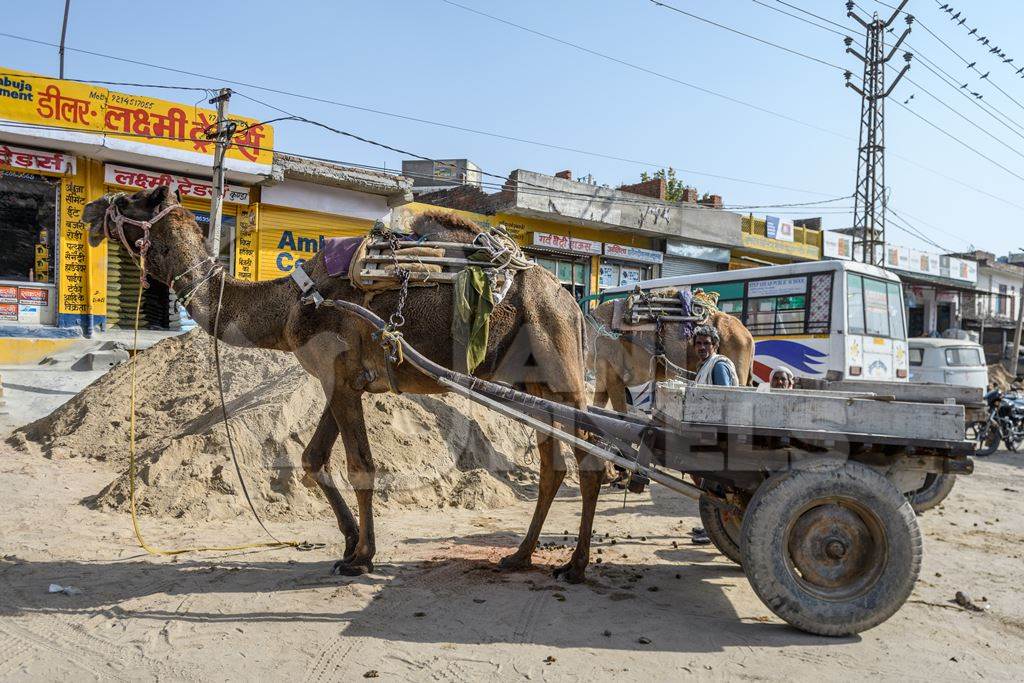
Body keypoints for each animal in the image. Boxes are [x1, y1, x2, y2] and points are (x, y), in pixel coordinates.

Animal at [83, 187, 602, 581]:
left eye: (129, 200)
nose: (90, 210)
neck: (291, 302)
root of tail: (572, 304)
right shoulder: (340, 381)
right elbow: (313, 459)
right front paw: (351, 543)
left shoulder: (340, 378)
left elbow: (360, 467)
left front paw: (361, 558)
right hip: (533, 385)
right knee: (553, 465)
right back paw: (520, 555)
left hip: (562, 372)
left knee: (589, 459)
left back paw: (574, 567)